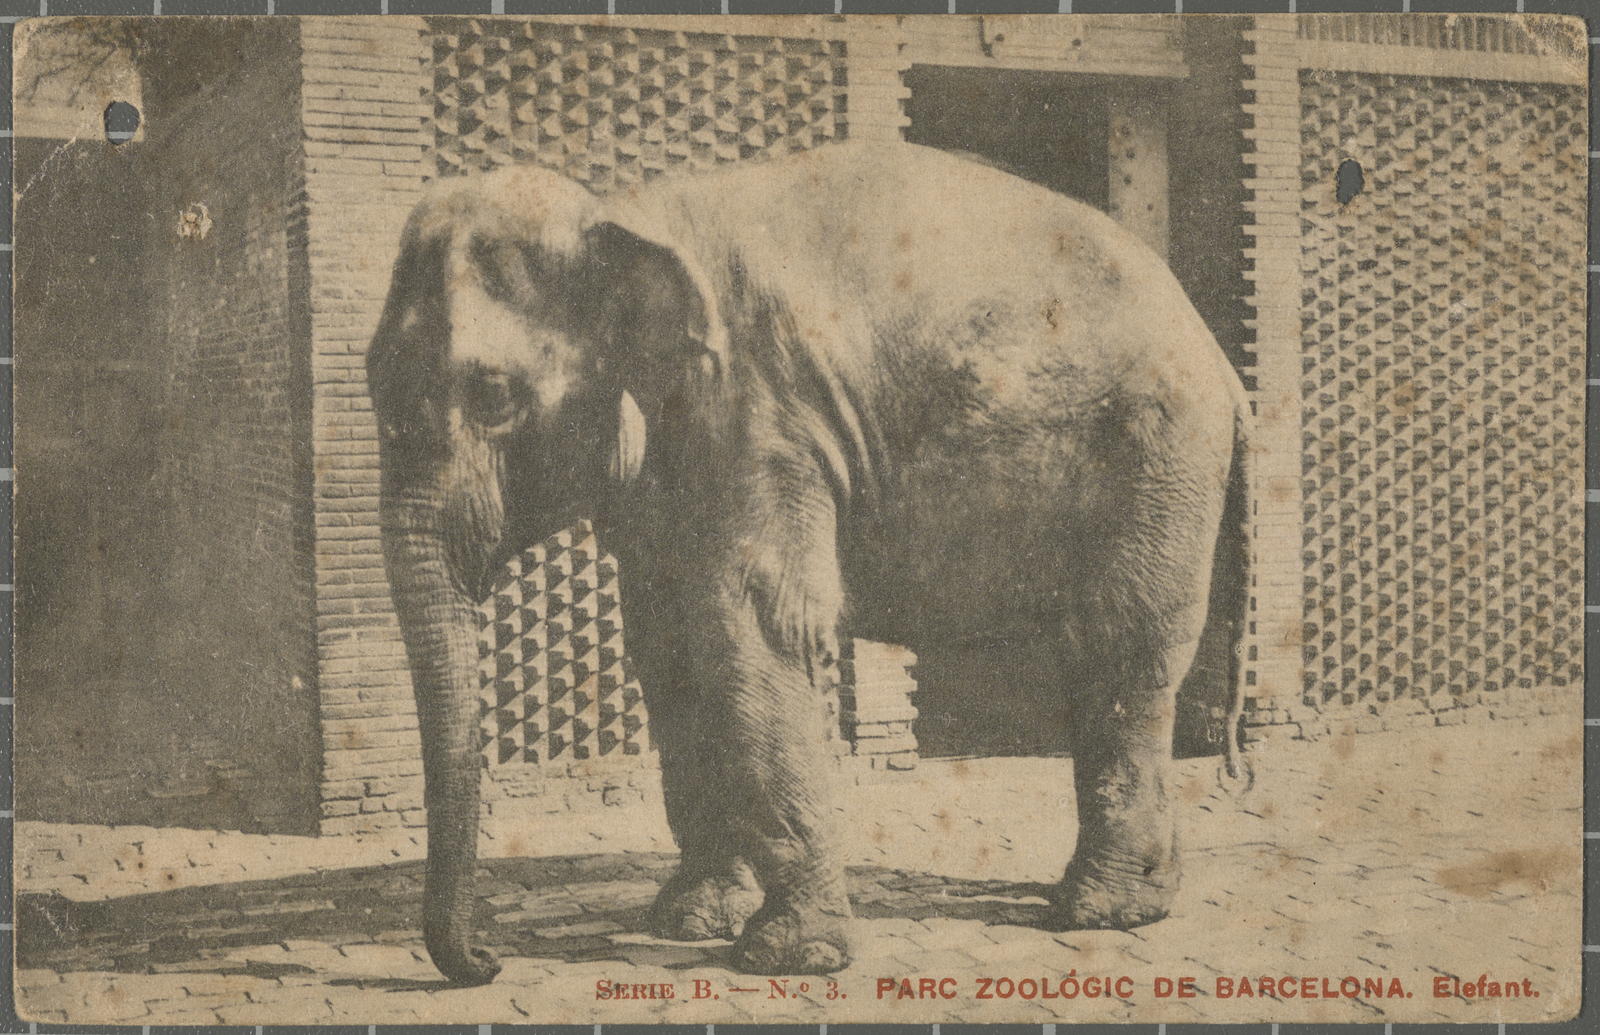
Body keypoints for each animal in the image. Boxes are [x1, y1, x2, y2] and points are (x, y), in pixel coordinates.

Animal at [366, 140, 1252, 985]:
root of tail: (1224, 365)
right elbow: (668, 642)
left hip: (1158, 463)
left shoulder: (758, 415)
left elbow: (747, 630)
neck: (620, 215)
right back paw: (1132, 900)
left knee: (1121, 653)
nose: (488, 960)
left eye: (492, 395)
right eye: (372, 386)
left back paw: (1098, 911)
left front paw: (785, 955)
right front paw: (689, 921)